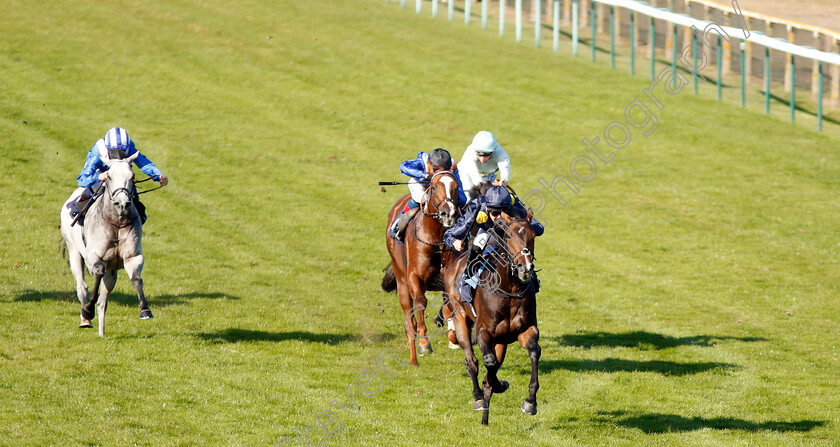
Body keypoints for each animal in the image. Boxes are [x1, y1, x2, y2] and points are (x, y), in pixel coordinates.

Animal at [60, 154, 153, 336]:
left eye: (132, 176)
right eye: (109, 176)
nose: (122, 204)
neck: (116, 222)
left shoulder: (132, 257)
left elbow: (136, 278)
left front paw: (145, 310)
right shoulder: (93, 257)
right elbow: (97, 273)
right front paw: (87, 310)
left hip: (112, 273)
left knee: (103, 301)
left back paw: (101, 332)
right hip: (74, 251)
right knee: (82, 287)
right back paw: (85, 319)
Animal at [384, 170, 462, 366]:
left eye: (456, 186)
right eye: (433, 187)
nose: (448, 214)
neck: (437, 241)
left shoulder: (449, 280)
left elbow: (452, 306)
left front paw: (454, 337)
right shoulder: (414, 277)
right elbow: (420, 303)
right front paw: (424, 344)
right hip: (402, 281)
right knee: (409, 320)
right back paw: (413, 358)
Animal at [442, 215, 540, 426]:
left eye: (532, 236)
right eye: (509, 236)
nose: (525, 268)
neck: (509, 289)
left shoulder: (525, 330)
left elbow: (534, 350)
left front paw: (530, 402)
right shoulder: (483, 332)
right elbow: (489, 361)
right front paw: (495, 385)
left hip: (501, 340)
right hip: (459, 315)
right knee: (471, 360)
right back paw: (479, 398)